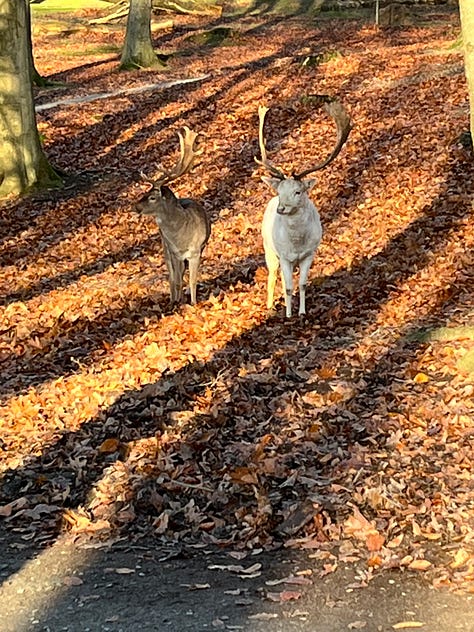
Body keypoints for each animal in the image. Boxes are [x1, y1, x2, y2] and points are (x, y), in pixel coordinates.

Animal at [137, 127, 211, 308]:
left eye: (152, 197)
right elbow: (177, 280)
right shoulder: (175, 252)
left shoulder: (196, 250)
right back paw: (173, 300)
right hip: (165, 248)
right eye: (145, 193)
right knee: (172, 276)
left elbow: (192, 280)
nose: (136, 206)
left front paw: (193, 303)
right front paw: (179, 303)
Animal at [256, 95, 352, 316]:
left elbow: (301, 284)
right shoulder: (284, 256)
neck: (297, 243)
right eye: (279, 191)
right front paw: (288, 314)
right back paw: (270, 305)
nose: (281, 208)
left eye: (297, 192)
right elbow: (288, 286)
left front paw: (301, 312)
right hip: (268, 249)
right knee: (273, 276)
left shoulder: (309, 253)